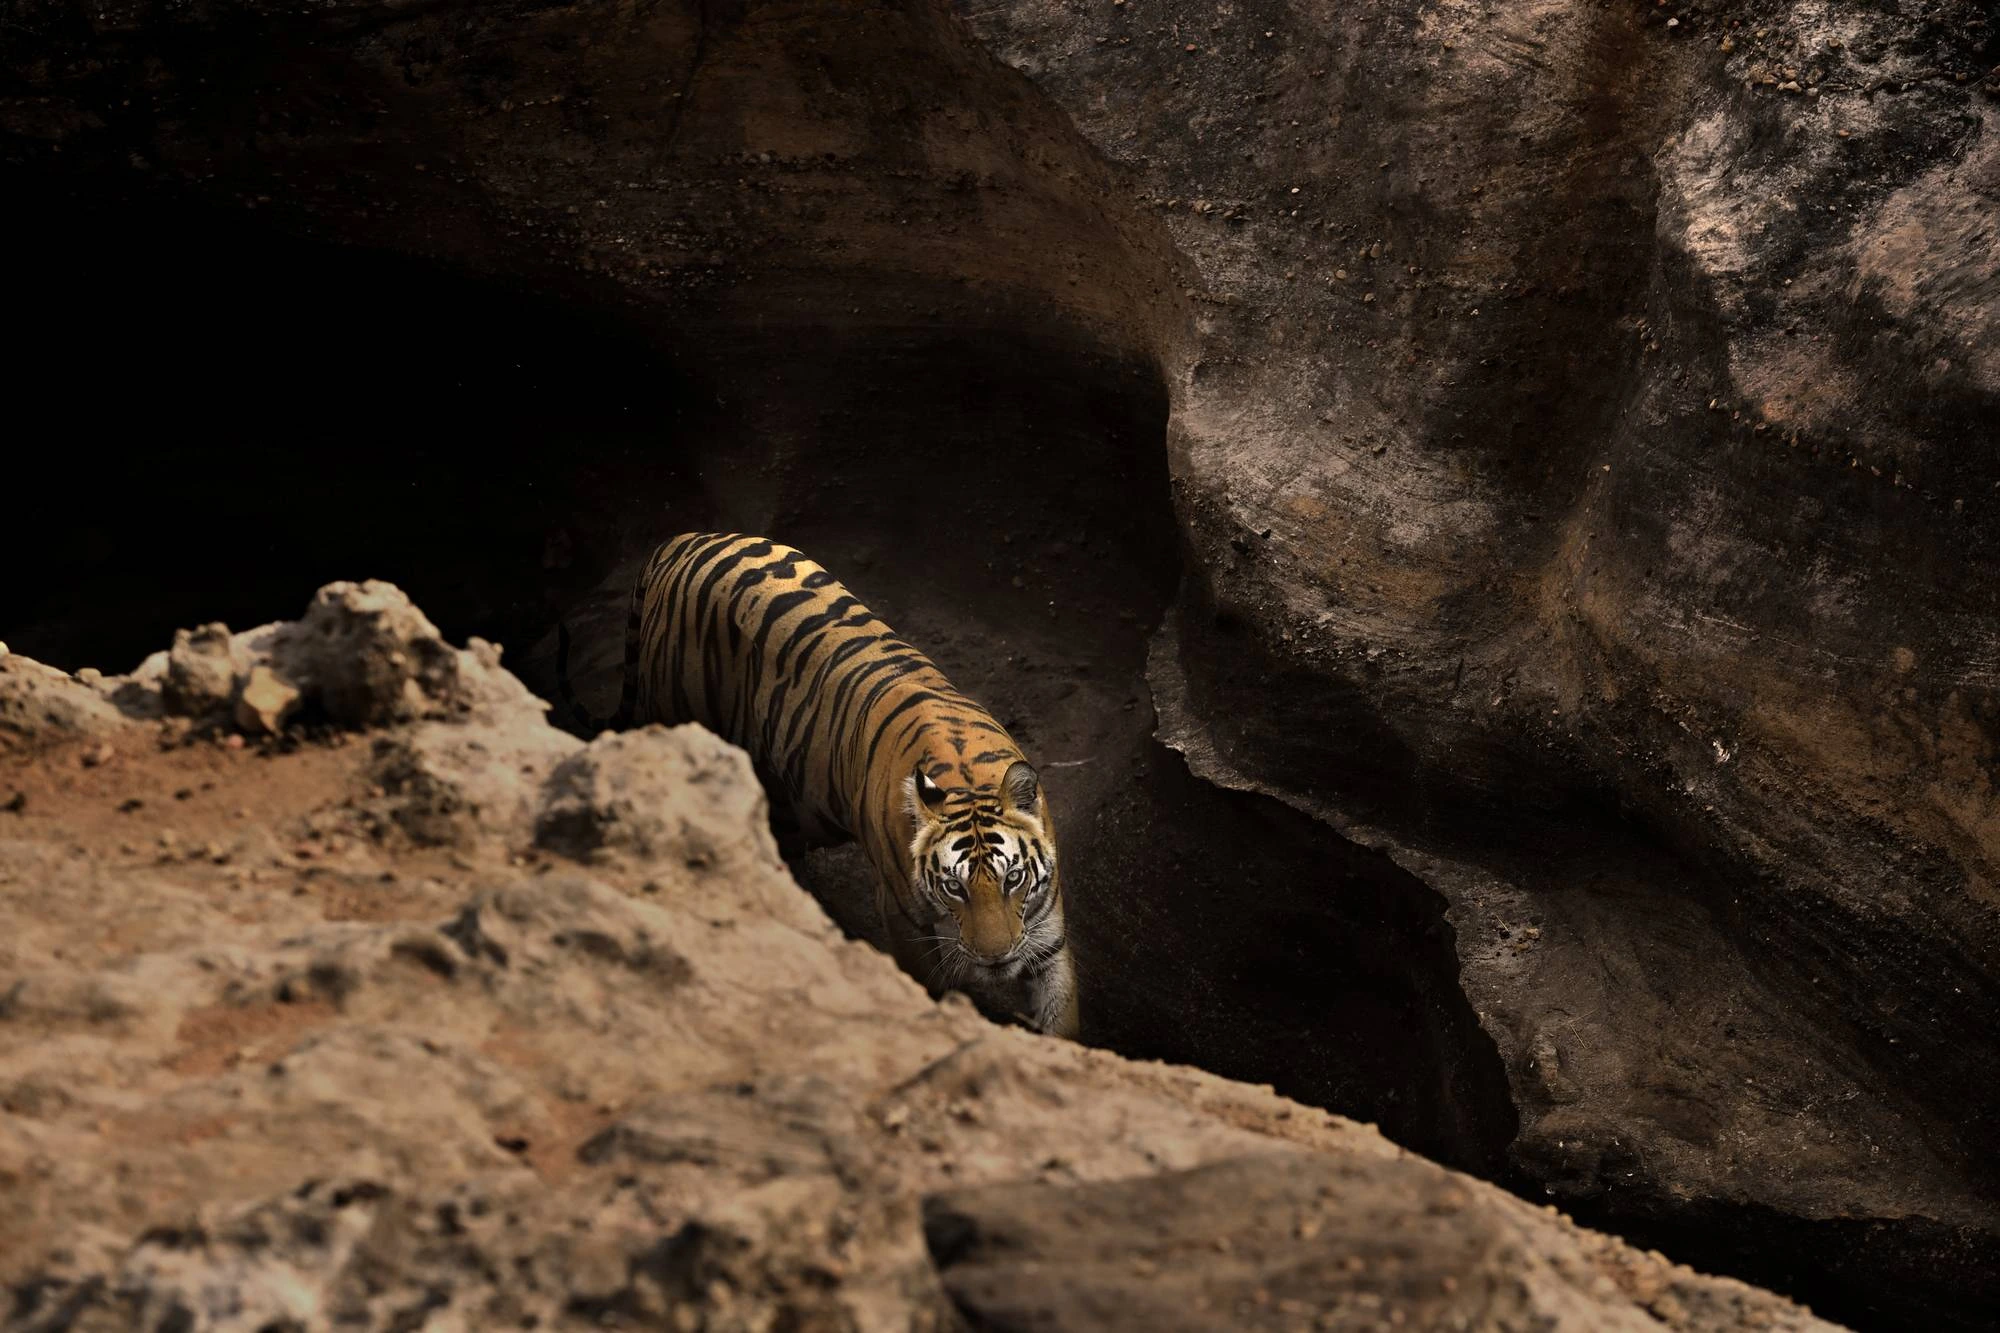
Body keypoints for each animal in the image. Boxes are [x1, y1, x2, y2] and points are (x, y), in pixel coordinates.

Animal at [556, 528, 1080, 1040]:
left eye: (1013, 878)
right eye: (954, 888)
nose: (996, 958)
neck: (966, 776)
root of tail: (681, 540)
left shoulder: (1046, 934)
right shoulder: (905, 921)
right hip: (674, 706)